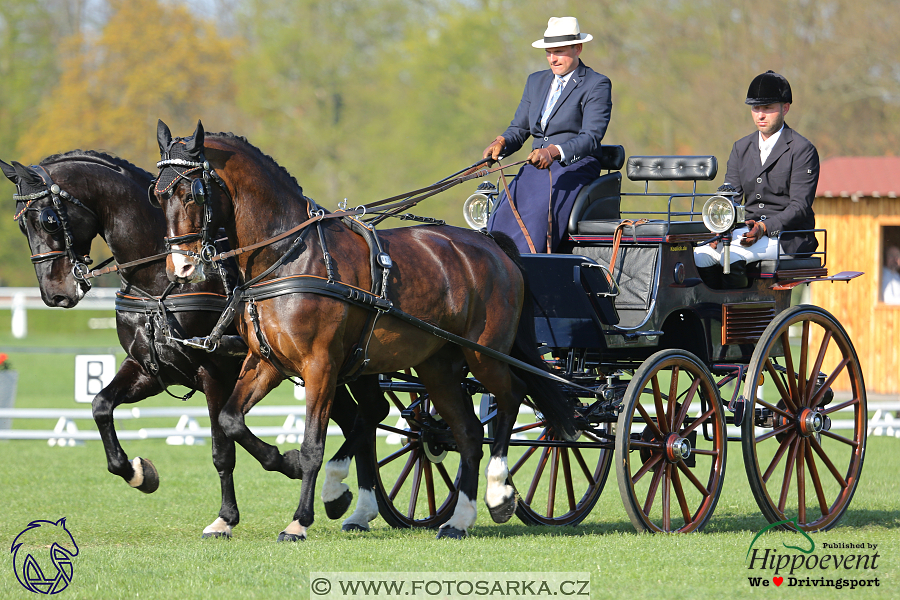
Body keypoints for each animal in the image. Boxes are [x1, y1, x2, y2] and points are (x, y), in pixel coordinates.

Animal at [153, 120, 576, 540]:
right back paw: (459, 519)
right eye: (157, 194)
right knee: (468, 433)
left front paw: (299, 519)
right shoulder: (266, 362)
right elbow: (230, 420)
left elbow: (313, 445)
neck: (290, 257)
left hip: (484, 354)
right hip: (437, 367)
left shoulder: (320, 366)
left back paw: (499, 491)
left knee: (511, 397)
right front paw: (284, 463)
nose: (182, 269)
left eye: (191, 193)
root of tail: (492, 245)